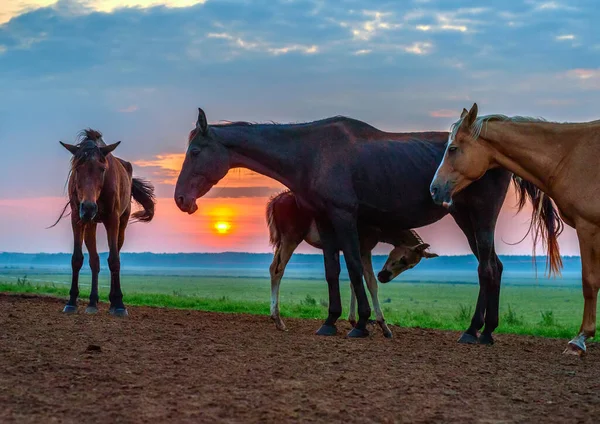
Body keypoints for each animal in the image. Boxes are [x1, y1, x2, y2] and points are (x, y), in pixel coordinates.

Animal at [55, 131, 157, 316]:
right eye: (77, 168)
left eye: (102, 169)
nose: (88, 207)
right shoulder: (77, 218)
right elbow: (78, 258)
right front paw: (72, 301)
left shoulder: (113, 220)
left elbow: (114, 260)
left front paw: (119, 304)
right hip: (91, 224)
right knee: (94, 260)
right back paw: (92, 302)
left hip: (121, 224)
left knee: (114, 253)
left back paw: (113, 301)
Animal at [264, 189, 438, 338]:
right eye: (404, 259)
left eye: (411, 266)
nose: (384, 277)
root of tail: (277, 199)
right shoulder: (364, 250)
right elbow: (370, 283)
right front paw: (384, 326)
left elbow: (354, 281)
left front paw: (354, 321)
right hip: (291, 238)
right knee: (279, 270)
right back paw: (278, 320)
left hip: (283, 241)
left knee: (273, 268)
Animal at [428, 102, 600, 354]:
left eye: (452, 148)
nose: (434, 188)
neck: (570, 155)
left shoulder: (588, 228)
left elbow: (589, 281)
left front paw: (579, 340)